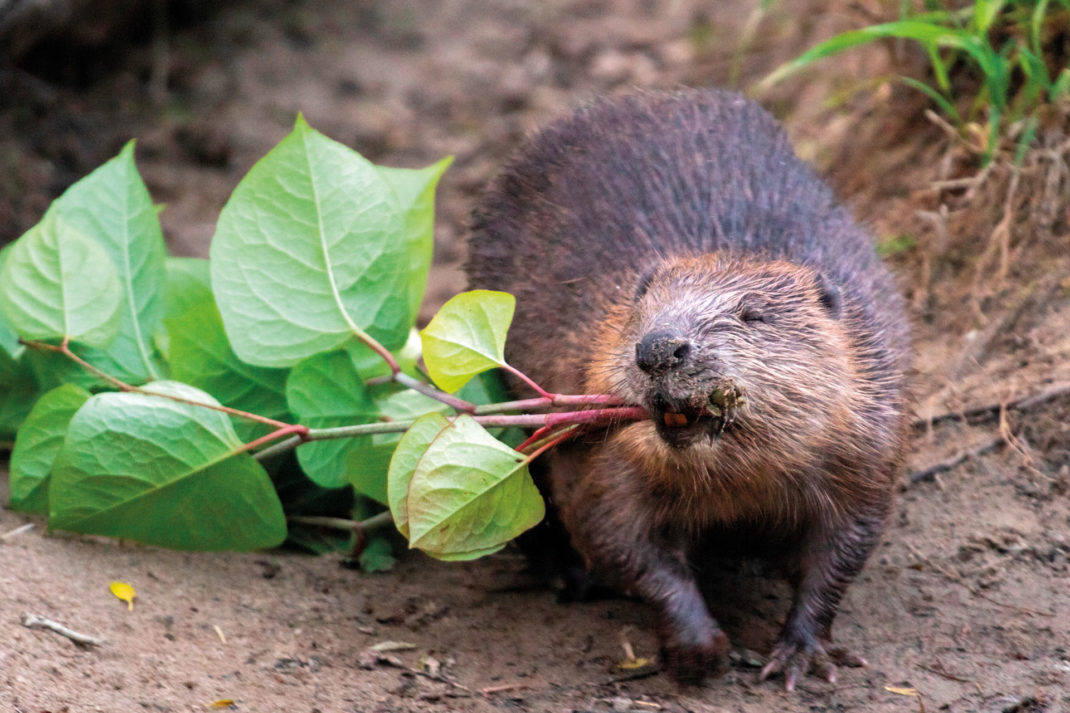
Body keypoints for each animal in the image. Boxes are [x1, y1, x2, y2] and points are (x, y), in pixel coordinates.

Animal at [464, 86, 907, 685]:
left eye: (753, 313)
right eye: (643, 302)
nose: (657, 348)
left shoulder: (865, 438)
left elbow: (844, 546)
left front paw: (801, 655)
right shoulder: (606, 458)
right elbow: (616, 536)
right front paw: (702, 650)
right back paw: (562, 574)